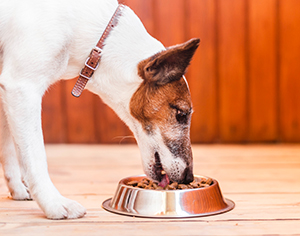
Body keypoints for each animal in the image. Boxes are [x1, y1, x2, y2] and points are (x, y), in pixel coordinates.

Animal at [0, 0, 199, 219]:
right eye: (181, 114)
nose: (189, 178)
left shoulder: (8, 93)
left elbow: (9, 148)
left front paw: (17, 188)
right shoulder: (22, 87)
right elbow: (35, 158)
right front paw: (54, 203)